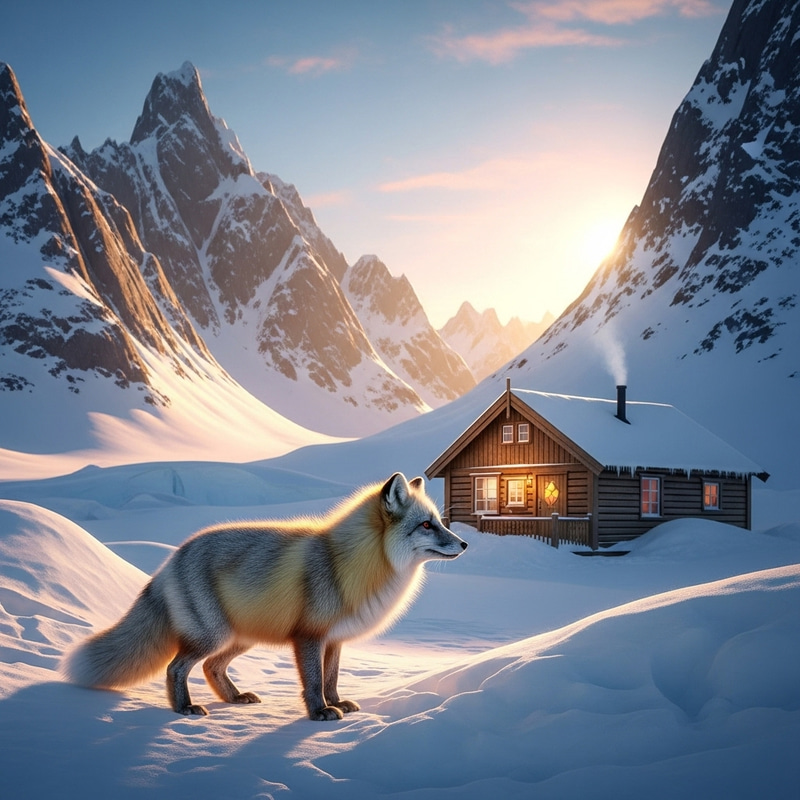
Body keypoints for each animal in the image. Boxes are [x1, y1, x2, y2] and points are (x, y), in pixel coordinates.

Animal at [62, 472, 467, 720]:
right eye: (427, 525)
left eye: (439, 521)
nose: (463, 544)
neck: (351, 562)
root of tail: (172, 559)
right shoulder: (308, 636)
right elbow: (314, 682)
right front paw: (319, 714)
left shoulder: (335, 639)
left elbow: (332, 679)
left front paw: (337, 704)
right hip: (213, 636)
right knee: (176, 668)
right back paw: (184, 709)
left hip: (240, 639)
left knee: (211, 668)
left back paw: (234, 699)